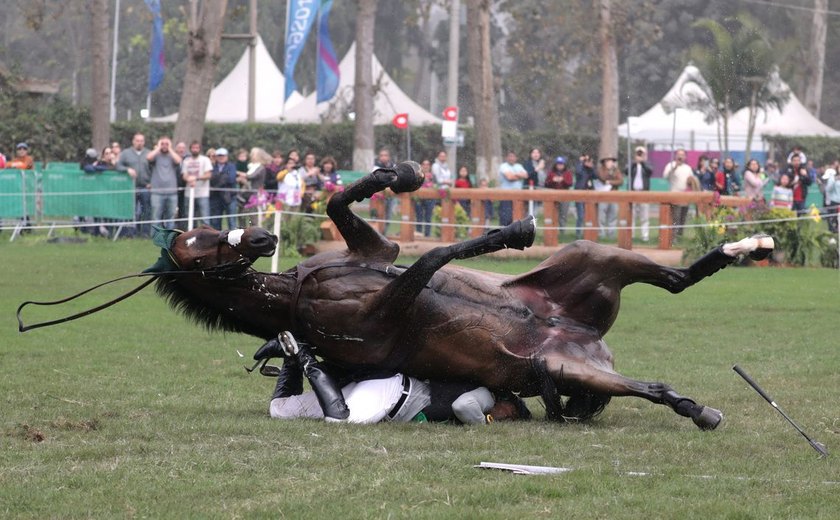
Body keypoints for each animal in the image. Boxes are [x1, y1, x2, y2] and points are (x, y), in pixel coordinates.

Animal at [16, 161, 776, 426]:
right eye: (193, 246)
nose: (259, 237)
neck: (296, 295)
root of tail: (588, 343)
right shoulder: (392, 303)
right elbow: (436, 253)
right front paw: (508, 228)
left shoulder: (374, 256)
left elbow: (341, 200)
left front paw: (402, 173)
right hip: (561, 366)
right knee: (653, 384)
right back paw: (698, 409)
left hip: (592, 261)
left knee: (675, 277)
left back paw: (749, 246)